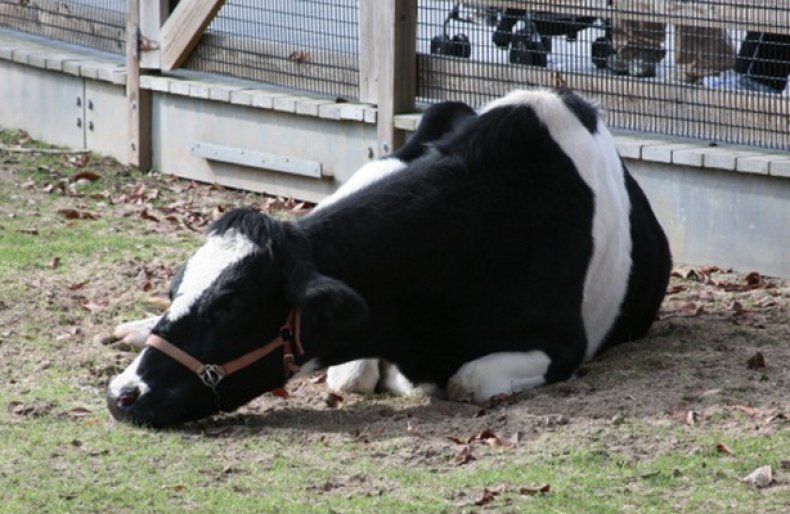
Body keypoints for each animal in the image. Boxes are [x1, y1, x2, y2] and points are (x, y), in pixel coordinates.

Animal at [106, 89, 676, 428]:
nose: (122, 394)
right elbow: (349, 376)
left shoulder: (564, 346)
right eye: (174, 289)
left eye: (230, 305)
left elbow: (468, 380)